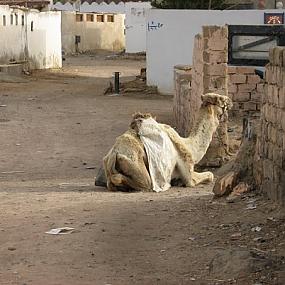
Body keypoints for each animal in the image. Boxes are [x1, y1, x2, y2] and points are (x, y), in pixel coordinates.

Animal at [101, 92, 231, 191]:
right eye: (220, 100)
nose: (229, 101)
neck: (189, 145)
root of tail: (114, 154)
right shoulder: (187, 169)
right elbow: (209, 175)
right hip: (137, 166)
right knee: (145, 182)